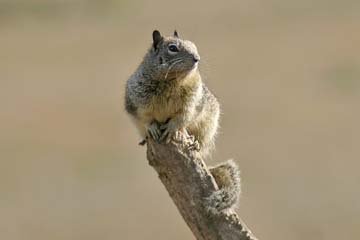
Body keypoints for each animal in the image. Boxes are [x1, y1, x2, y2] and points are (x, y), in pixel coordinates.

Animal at [125, 30, 240, 214]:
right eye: (173, 48)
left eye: (193, 45)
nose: (197, 58)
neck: (172, 80)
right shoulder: (137, 100)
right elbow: (146, 118)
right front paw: (153, 128)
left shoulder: (190, 102)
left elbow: (183, 117)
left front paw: (172, 129)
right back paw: (145, 138)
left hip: (209, 125)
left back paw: (195, 143)